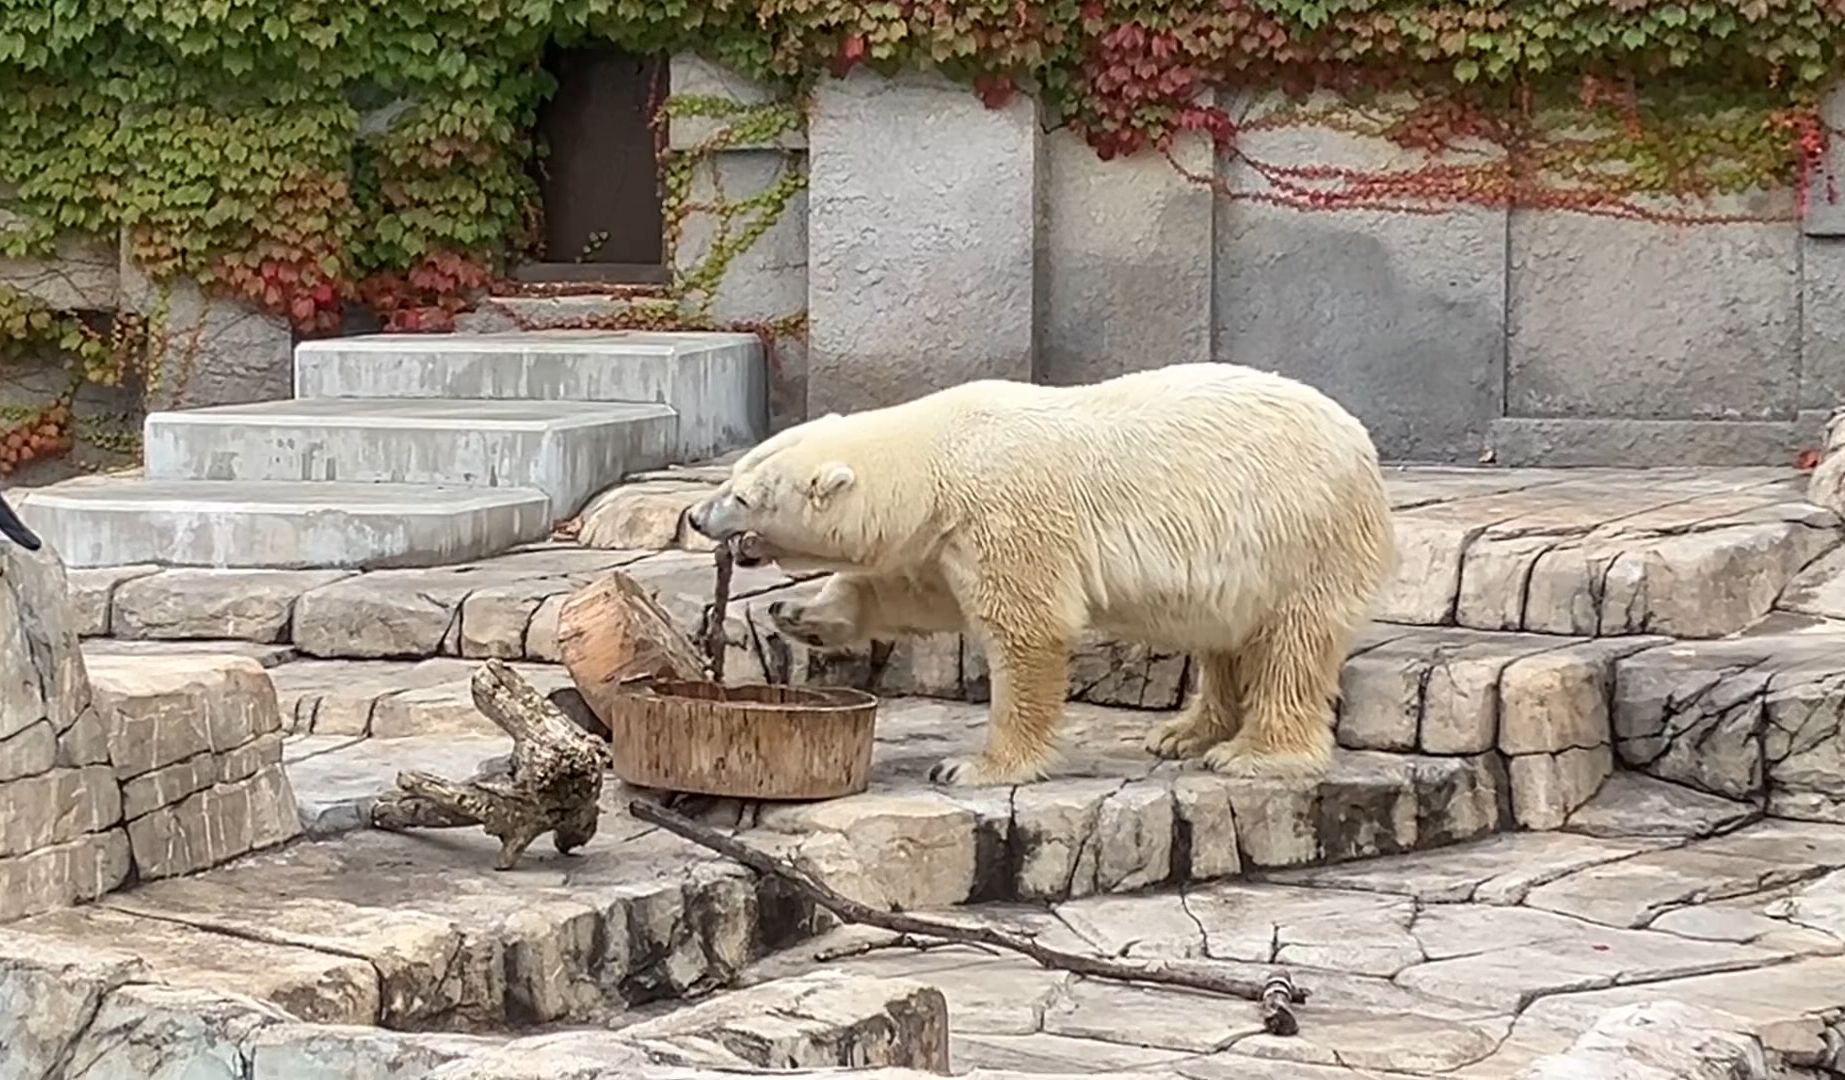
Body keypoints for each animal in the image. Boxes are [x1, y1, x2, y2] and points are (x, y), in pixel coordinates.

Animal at [686, 361, 1387, 782]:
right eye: (734, 475)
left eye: (743, 495)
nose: (695, 515)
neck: (941, 454)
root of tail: (1360, 439)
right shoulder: (945, 537)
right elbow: (913, 591)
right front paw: (800, 612)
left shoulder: (1006, 513)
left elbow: (1027, 629)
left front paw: (975, 768)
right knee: (1222, 634)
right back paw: (1183, 734)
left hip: (1299, 533)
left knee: (1292, 639)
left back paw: (1253, 754)